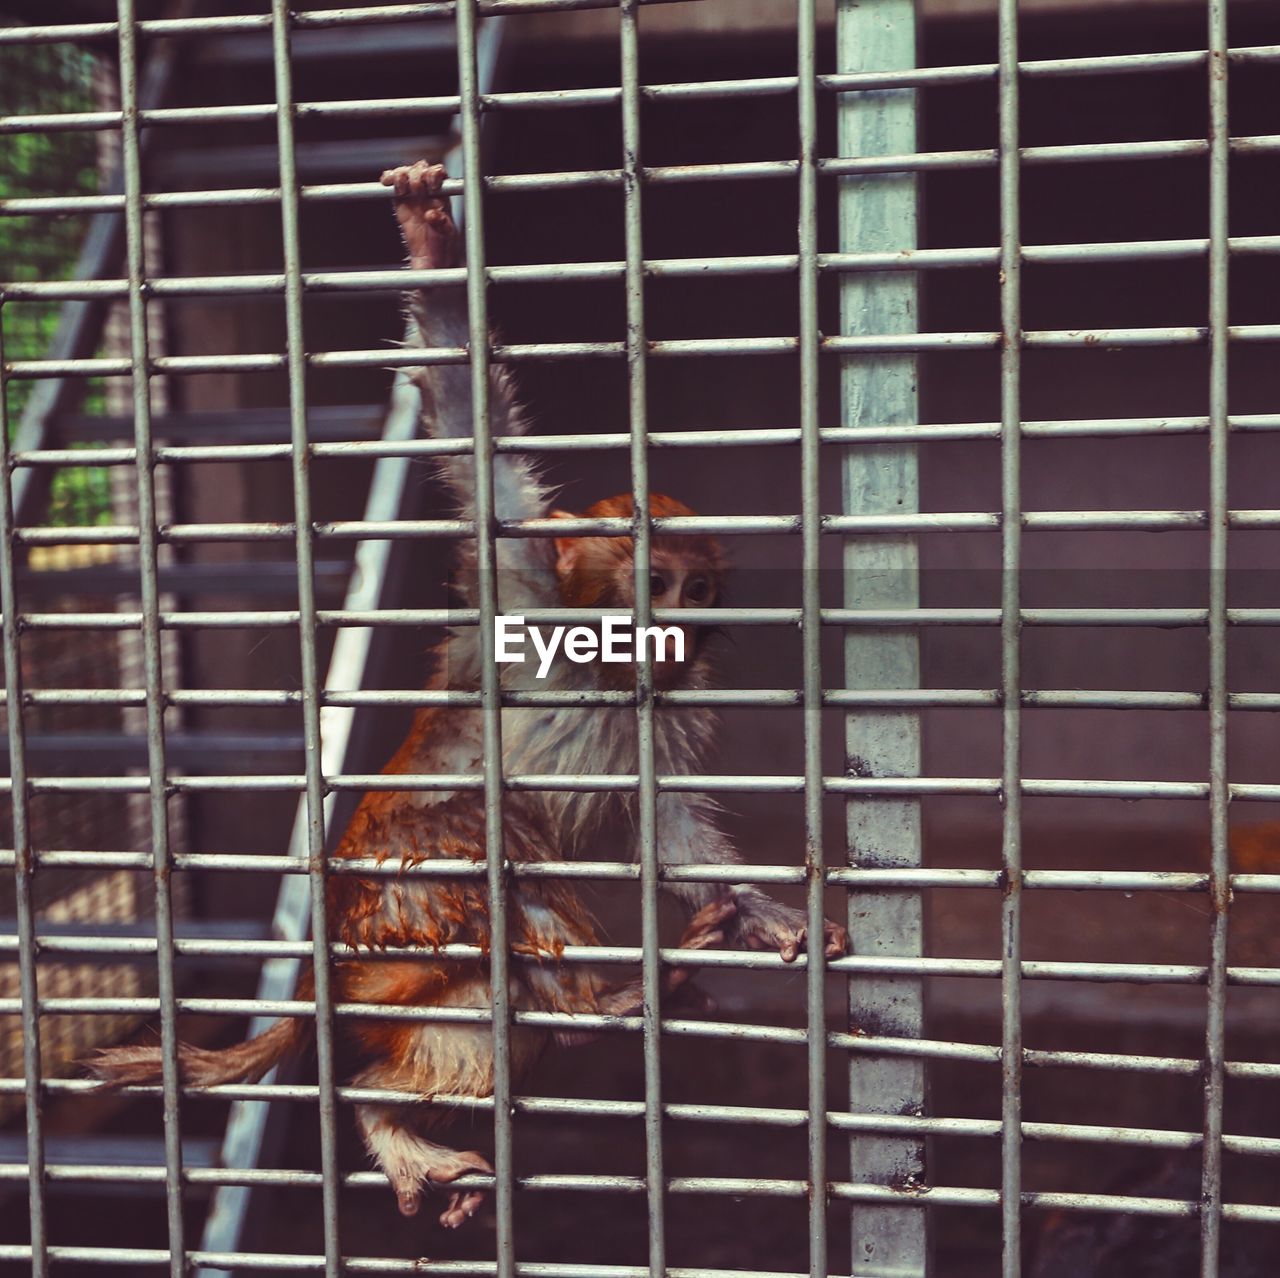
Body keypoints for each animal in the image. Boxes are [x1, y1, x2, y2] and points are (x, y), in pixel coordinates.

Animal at [85, 160, 844, 1229]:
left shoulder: (655, 713)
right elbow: (469, 428)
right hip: (392, 916)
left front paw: (766, 914)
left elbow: (669, 834)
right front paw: (434, 243)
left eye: (697, 592)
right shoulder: (517, 589)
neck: (597, 668)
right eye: (654, 581)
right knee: (485, 852)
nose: (676, 620)